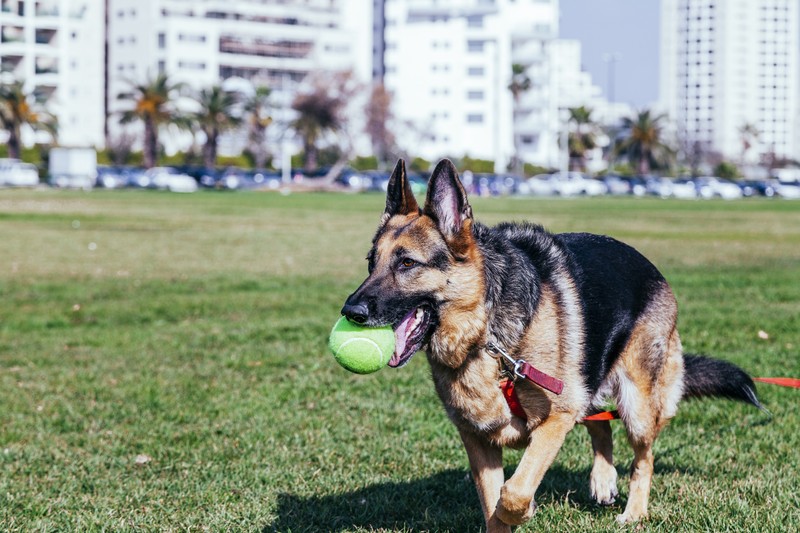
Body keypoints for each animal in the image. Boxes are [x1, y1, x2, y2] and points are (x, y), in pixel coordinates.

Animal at [340, 158, 764, 528]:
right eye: (371, 263)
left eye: (407, 263)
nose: (351, 311)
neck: (487, 338)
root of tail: (651, 266)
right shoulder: (477, 439)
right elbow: (494, 505)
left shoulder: (556, 416)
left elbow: (513, 493)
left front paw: (524, 511)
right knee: (599, 422)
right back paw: (603, 480)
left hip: (637, 405)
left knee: (643, 457)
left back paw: (634, 512)